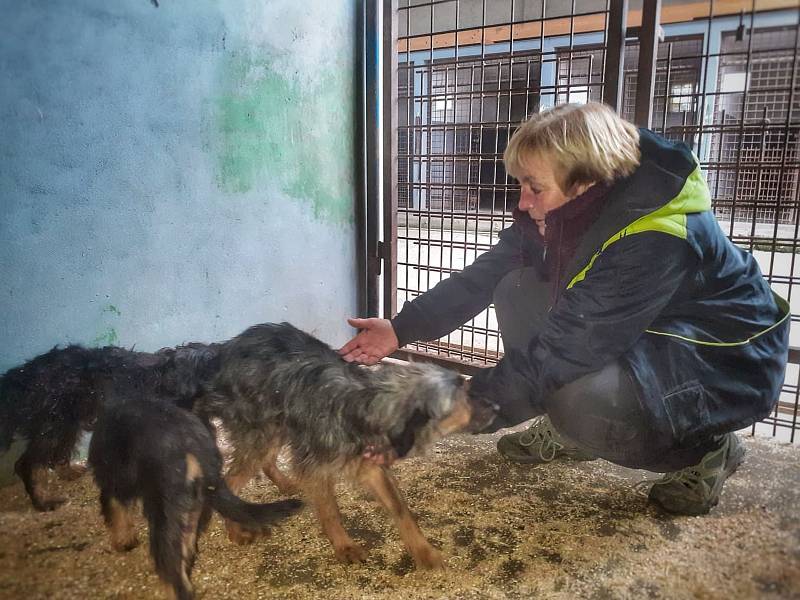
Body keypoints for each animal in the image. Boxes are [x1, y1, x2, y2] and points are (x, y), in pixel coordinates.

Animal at [0, 342, 219, 510]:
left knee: (58, 452)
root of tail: (23, 376)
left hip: (66, 423)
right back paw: (43, 501)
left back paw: (69, 473)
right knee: (28, 463)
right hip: (54, 423)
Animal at [194, 322, 494, 568]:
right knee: (230, 481)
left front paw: (424, 552)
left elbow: (402, 511)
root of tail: (222, 350)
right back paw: (236, 528)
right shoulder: (316, 465)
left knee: (262, 462)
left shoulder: (372, 467)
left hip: (275, 426)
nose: (497, 407)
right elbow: (330, 512)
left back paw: (285, 484)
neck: (365, 408)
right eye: (461, 397)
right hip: (262, 429)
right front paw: (344, 546)